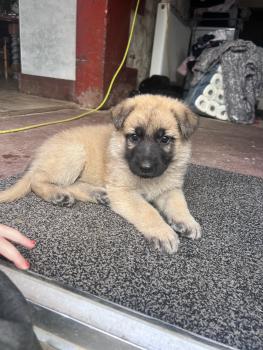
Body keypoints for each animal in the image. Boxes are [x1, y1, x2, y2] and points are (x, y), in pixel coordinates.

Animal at [0, 94, 202, 253]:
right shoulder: (123, 192)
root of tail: (40, 155)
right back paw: (57, 195)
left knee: (70, 184)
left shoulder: (170, 189)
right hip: (74, 154)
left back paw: (96, 194)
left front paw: (187, 222)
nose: (146, 167)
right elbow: (147, 210)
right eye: (134, 137)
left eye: (165, 139)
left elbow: (179, 204)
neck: (148, 181)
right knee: (38, 180)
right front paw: (163, 232)